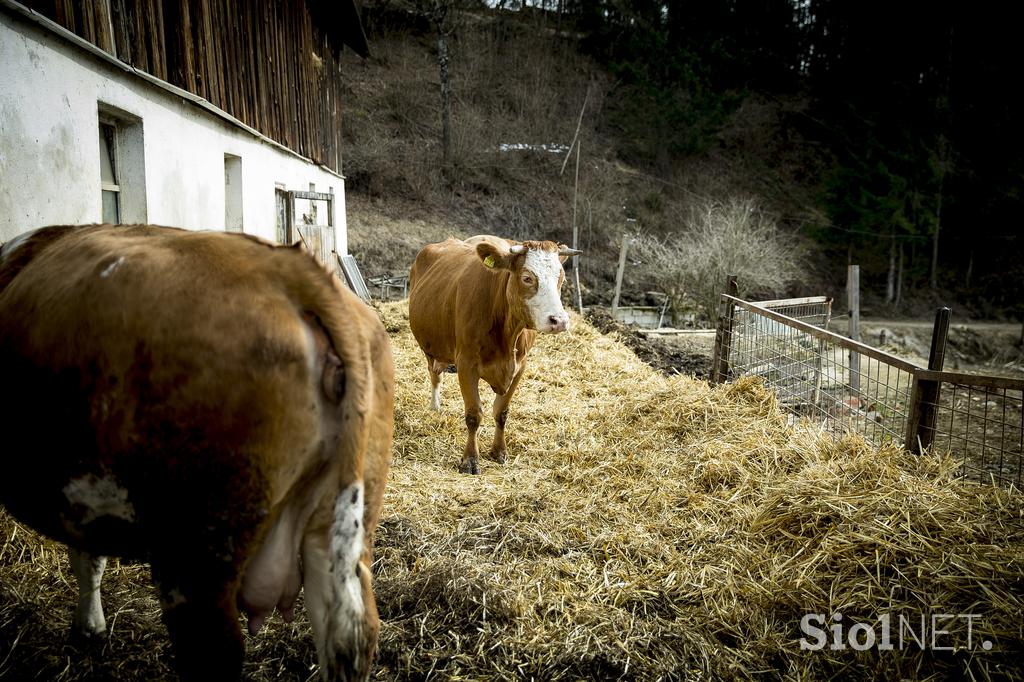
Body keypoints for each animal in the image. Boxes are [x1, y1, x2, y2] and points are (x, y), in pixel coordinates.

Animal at [0, 224, 393, 679]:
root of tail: (283, 266)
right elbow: (88, 554)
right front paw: (91, 626)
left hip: (195, 551)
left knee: (215, 650)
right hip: (339, 524)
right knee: (350, 632)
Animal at [409, 233, 585, 473]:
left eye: (561, 278)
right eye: (527, 278)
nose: (559, 321)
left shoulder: (520, 366)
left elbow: (501, 412)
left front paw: (499, 451)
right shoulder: (466, 365)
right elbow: (474, 414)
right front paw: (470, 459)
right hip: (429, 346)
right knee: (434, 373)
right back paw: (435, 406)